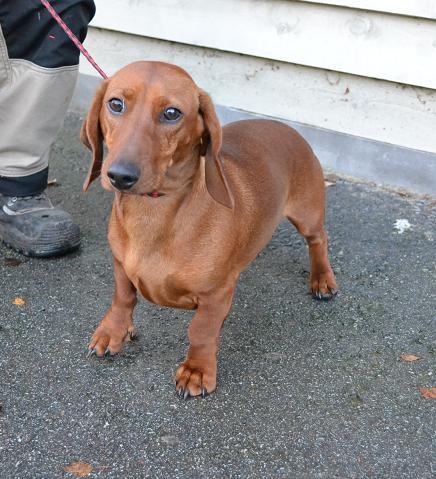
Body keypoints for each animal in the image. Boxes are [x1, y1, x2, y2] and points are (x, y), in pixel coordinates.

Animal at [81, 61, 338, 398]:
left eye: (172, 113)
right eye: (115, 104)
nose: (120, 176)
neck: (154, 212)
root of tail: (286, 127)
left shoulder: (216, 294)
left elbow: (201, 331)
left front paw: (197, 370)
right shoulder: (120, 266)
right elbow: (123, 298)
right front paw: (114, 331)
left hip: (307, 213)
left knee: (318, 240)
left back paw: (322, 279)